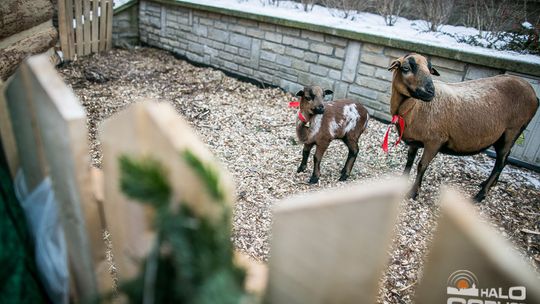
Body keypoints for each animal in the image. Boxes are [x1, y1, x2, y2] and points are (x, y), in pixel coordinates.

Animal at [390, 54, 536, 202]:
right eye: (405, 68)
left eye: (430, 70)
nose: (431, 92)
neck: (414, 109)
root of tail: (531, 90)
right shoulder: (414, 142)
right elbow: (409, 161)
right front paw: (401, 182)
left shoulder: (435, 141)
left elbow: (421, 165)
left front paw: (413, 193)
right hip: (500, 136)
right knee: (504, 160)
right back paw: (490, 184)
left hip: (513, 130)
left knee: (501, 162)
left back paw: (480, 195)